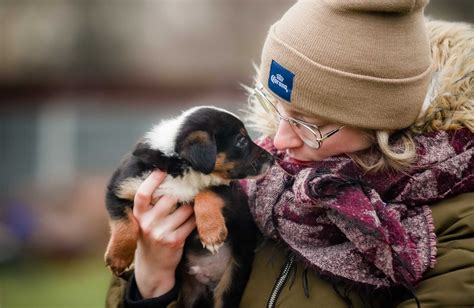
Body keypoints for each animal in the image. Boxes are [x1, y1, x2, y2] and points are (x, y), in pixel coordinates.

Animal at [105, 106, 272, 308]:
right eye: (241, 141)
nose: (272, 158)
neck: (180, 168)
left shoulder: (231, 192)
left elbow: (206, 193)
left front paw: (211, 233)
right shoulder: (120, 187)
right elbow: (124, 224)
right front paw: (118, 258)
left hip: (233, 276)